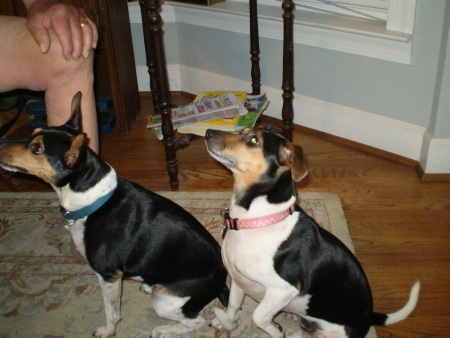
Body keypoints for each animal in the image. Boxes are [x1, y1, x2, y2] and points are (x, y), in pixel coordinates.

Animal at [0, 92, 229, 338]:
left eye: (37, 149)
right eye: (32, 133)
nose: (1, 142)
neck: (93, 202)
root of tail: (222, 282)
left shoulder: (107, 275)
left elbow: (111, 312)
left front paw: (107, 331)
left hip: (164, 301)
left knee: (197, 322)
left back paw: (162, 330)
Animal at [206, 127, 420, 338]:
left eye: (253, 140)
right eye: (242, 131)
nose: (208, 132)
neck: (254, 220)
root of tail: (368, 318)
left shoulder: (283, 289)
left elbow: (258, 316)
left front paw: (275, 330)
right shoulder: (237, 279)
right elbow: (233, 305)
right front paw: (226, 323)